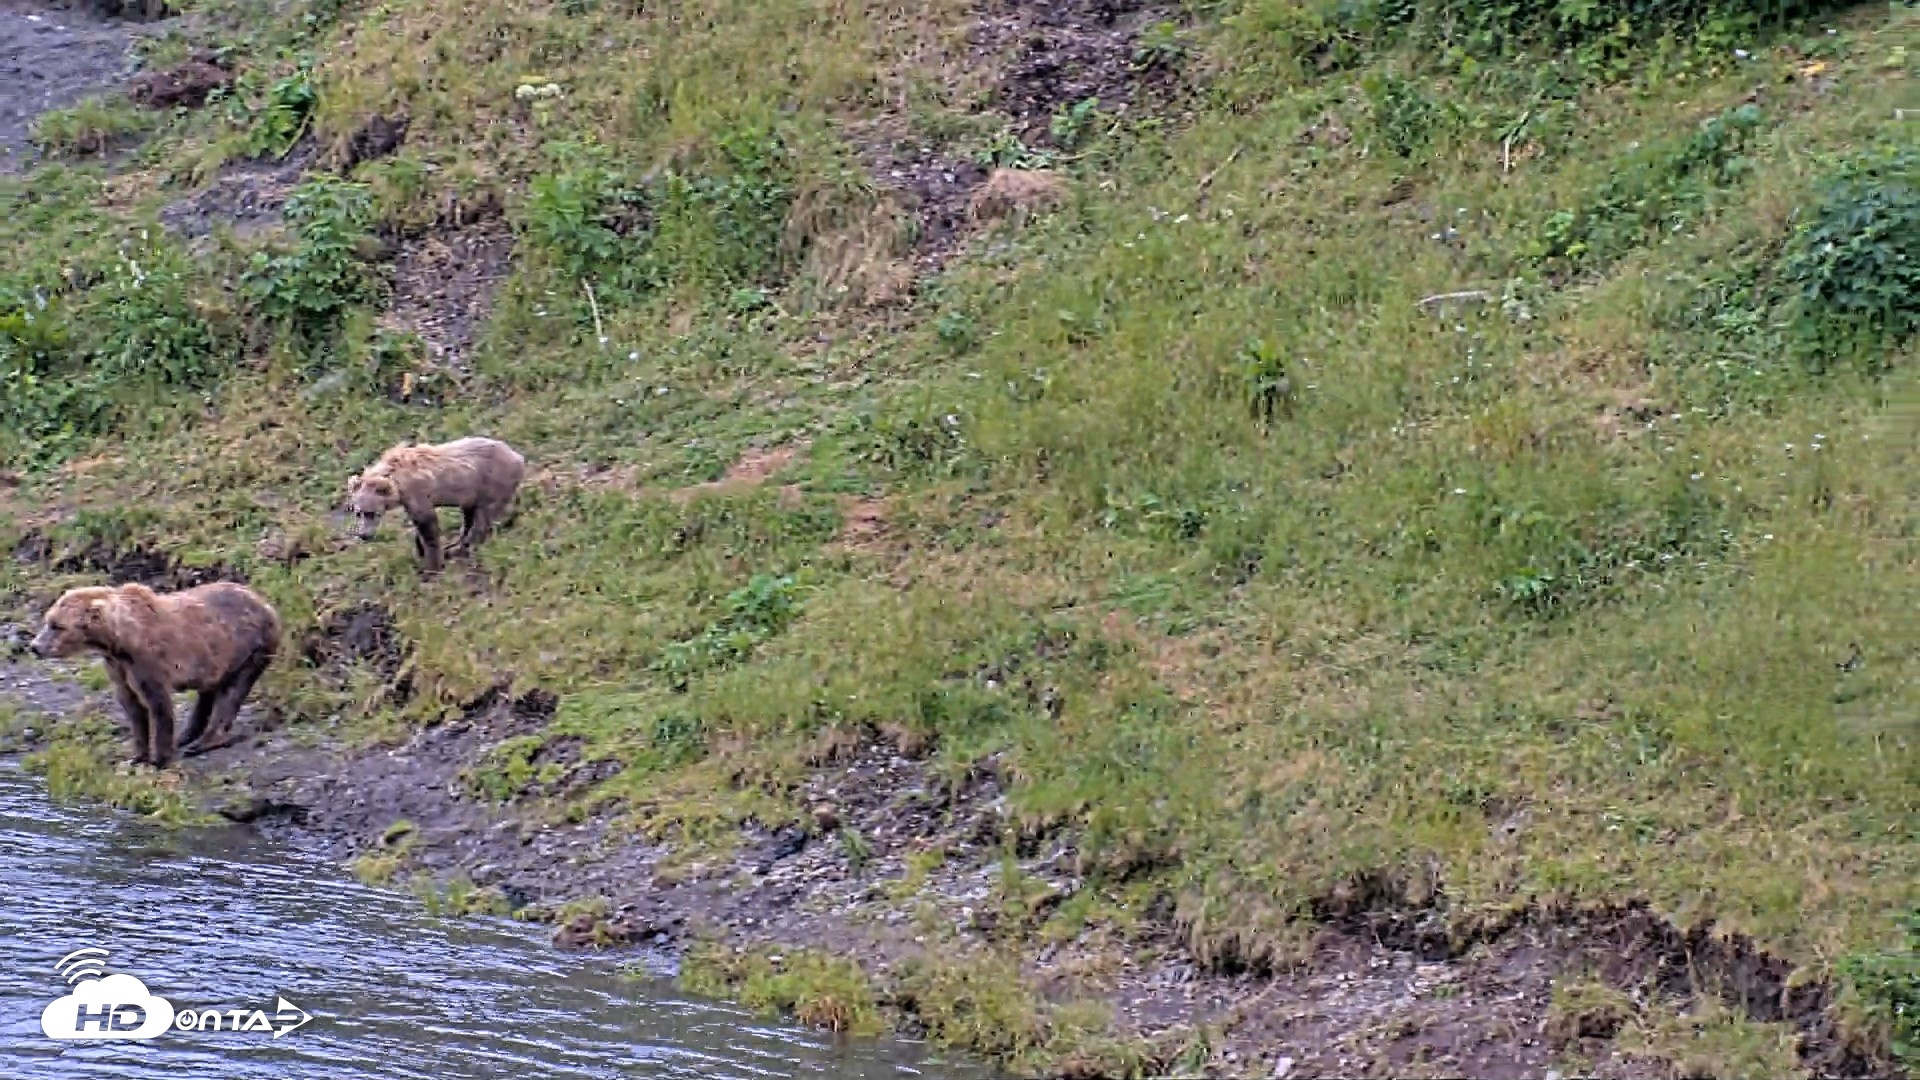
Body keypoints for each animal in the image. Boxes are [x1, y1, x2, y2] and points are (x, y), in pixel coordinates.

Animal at [30, 581, 281, 769]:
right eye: (48, 621)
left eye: (57, 626)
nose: (35, 646)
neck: (118, 639)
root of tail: (266, 604)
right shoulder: (117, 666)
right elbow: (132, 705)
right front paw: (137, 755)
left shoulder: (148, 661)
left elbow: (158, 704)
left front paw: (159, 758)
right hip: (217, 656)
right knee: (209, 690)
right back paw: (186, 735)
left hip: (251, 647)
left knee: (232, 692)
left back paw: (203, 742)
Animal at [346, 436, 527, 574]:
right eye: (358, 512)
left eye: (372, 513)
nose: (364, 535)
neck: (396, 480)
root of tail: (518, 456)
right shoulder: (410, 499)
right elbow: (419, 525)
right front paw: (420, 550)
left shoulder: (417, 492)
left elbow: (427, 525)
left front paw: (431, 564)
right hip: (472, 492)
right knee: (469, 516)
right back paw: (455, 544)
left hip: (492, 482)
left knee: (483, 516)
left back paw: (462, 548)